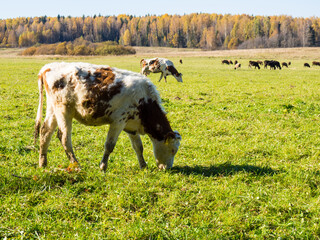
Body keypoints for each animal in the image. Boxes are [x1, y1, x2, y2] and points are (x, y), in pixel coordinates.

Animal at [34, 62, 182, 171]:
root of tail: (48, 67)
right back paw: (76, 165)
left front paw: (143, 165)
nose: (168, 168)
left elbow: (138, 147)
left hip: (53, 109)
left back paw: (43, 162)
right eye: (173, 150)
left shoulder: (131, 126)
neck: (144, 101)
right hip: (64, 110)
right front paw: (103, 166)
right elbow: (109, 145)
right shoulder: (118, 122)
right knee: (64, 137)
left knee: (45, 132)